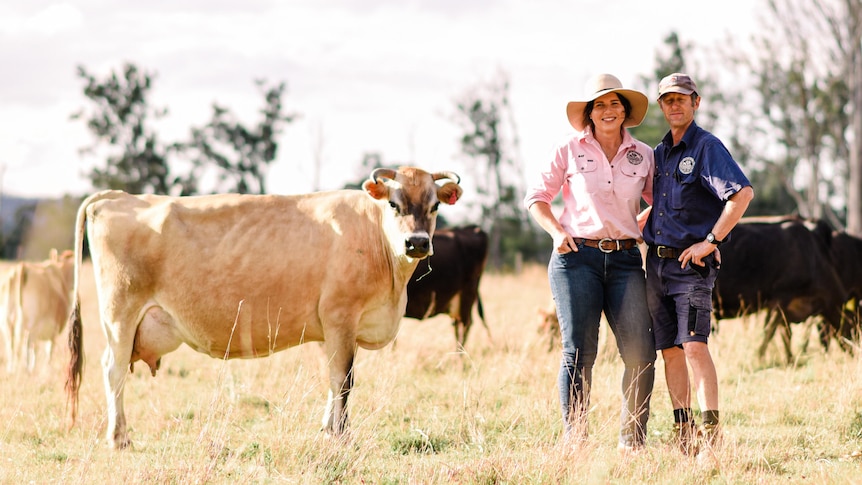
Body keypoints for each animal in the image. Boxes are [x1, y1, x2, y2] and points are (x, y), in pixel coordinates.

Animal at [66, 167, 466, 450]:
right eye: (394, 204)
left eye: (434, 205)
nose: (417, 243)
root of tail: (119, 197)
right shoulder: (341, 318)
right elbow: (344, 381)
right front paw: (341, 436)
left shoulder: (332, 329)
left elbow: (332, 379)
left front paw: (328, 430)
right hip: (119, 317)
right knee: (113, 371)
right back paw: (119, 437)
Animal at [712, 216, 852, 360]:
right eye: (856, 322)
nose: (856, 351)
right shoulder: (781, 296)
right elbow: (771, 331)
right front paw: (760, 357)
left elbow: (784, 333)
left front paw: (789, 359)